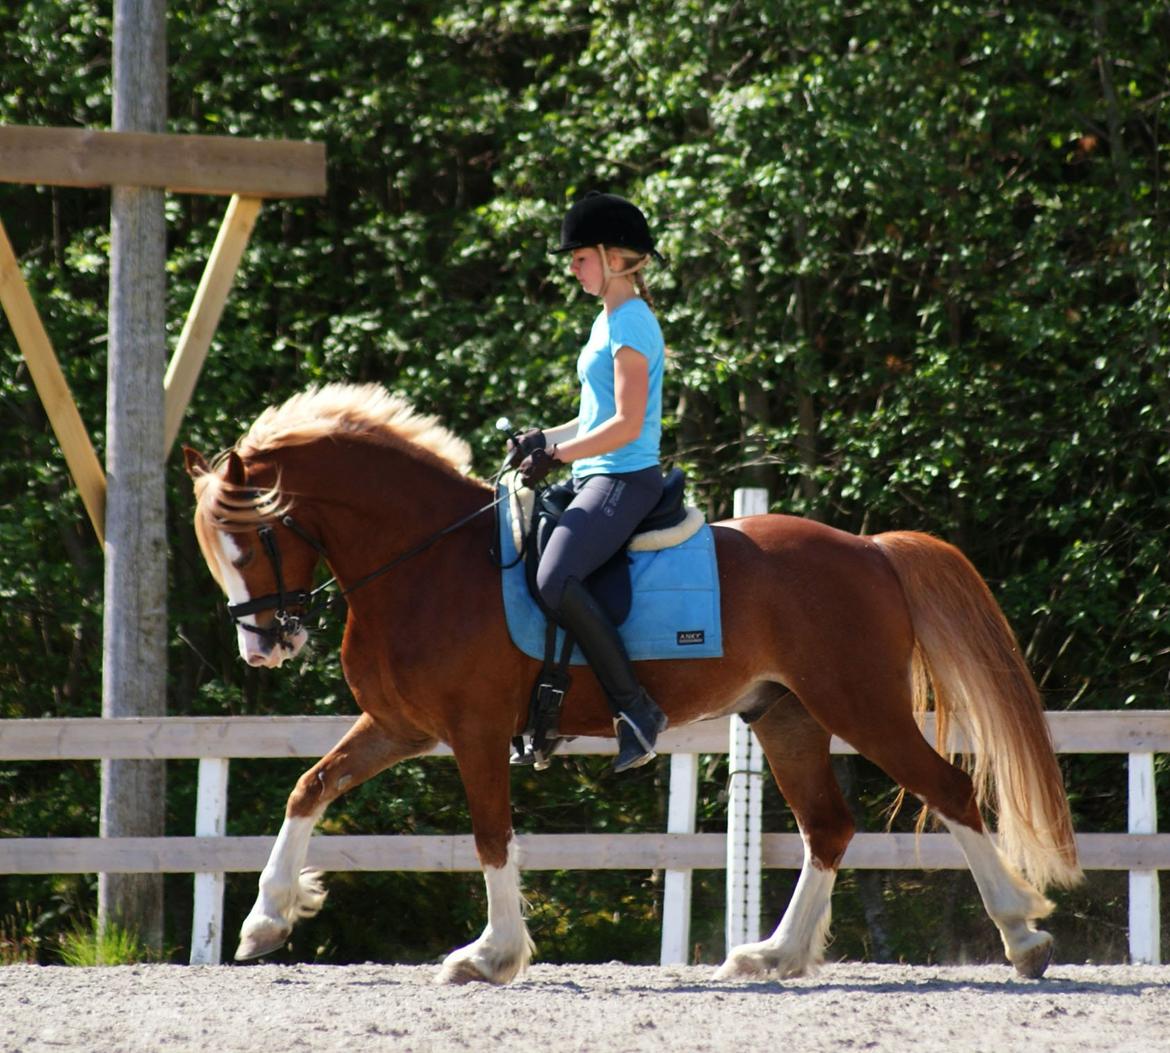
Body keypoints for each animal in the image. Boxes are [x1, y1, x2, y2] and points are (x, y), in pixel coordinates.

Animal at [187, 381, 1081, 982]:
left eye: (254, 536)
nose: (264, 646)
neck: (426, 560)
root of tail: (868, 548)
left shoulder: (474, 730)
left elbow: (490, 835)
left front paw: (490, 955)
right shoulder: (401, 725)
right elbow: (309, 787)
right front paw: (267, 920)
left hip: (861, 707)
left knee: (950, 791)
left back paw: (1025, 938)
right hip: (786, 716)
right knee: (829, 826)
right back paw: (774, 953)